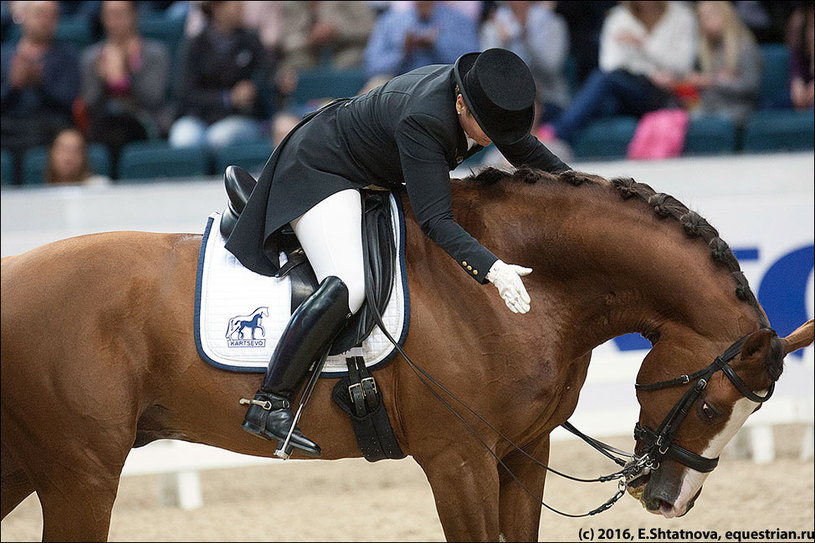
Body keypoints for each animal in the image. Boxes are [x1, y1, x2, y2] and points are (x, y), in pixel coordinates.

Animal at [0, 168, 812, 540]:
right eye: (709, 403)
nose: (669, 499)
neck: (522, 289)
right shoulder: (457, 459)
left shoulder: (523, 452)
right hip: (81, 474)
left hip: (27, 465)